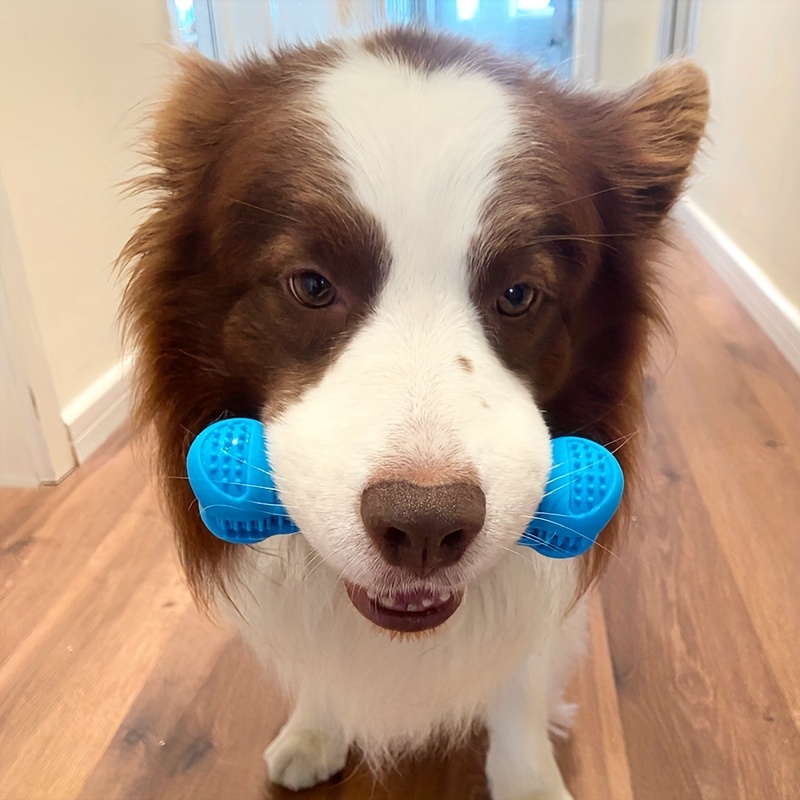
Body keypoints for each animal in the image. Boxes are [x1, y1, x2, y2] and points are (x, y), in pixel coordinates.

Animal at [119, 28, 708, 796]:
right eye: (311, 285)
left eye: (519, 294)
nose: (425, 526)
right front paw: (316, 727)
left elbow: (523, 679)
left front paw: (528, 778)